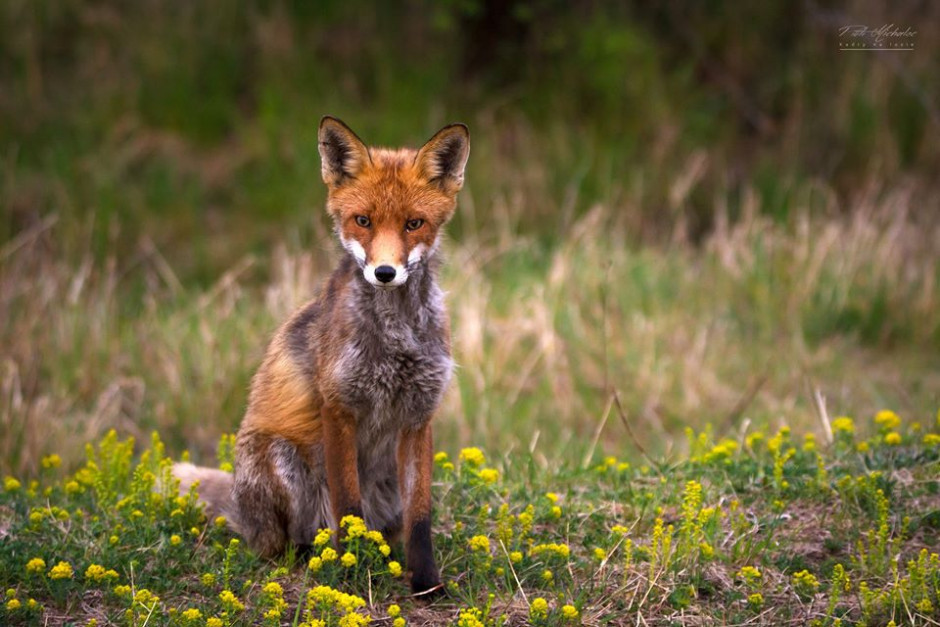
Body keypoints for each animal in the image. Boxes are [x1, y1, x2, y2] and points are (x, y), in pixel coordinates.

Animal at [173, 115, 470, 596]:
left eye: (414, 223)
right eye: (362, 220)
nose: (384, 272)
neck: (396, 337)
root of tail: (241, 509)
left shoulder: (419, 414)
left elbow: (421, 518)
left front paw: (427, 584)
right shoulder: (339, 405)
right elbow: (347, 506)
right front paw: (349, 573)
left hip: (386, 488)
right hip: (283, 461)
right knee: (285, 543)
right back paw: (310, 559)